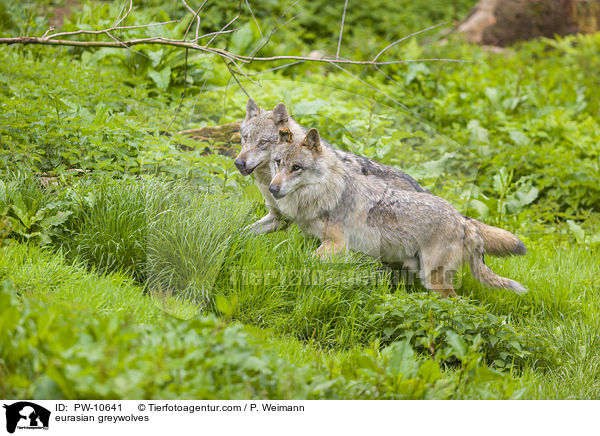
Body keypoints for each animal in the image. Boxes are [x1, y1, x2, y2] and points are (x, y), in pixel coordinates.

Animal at [234, 98, 524, 258]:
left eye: (263, 142)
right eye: (244, 138)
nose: (238, 162)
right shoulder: (277, 219)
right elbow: (242, 231)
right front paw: (230, 241)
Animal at [268, 126, 524, 296]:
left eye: (297, 167)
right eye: (278, 163)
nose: (272, 188)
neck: (326, 193)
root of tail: (463, 221)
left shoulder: (337, 245)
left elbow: (306, 263)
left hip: (434, 279)